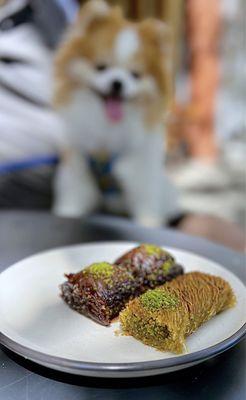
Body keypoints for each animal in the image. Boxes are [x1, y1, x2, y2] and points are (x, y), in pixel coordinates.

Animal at [52, 0, 178, 225]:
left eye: (135, 75)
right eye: (101, 67)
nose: (117, 83)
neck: (107, 128)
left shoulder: (141, 176)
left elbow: (146, 209)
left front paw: (149, 223)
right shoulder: (76, 169)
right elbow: (72, 202)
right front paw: (66, 213)